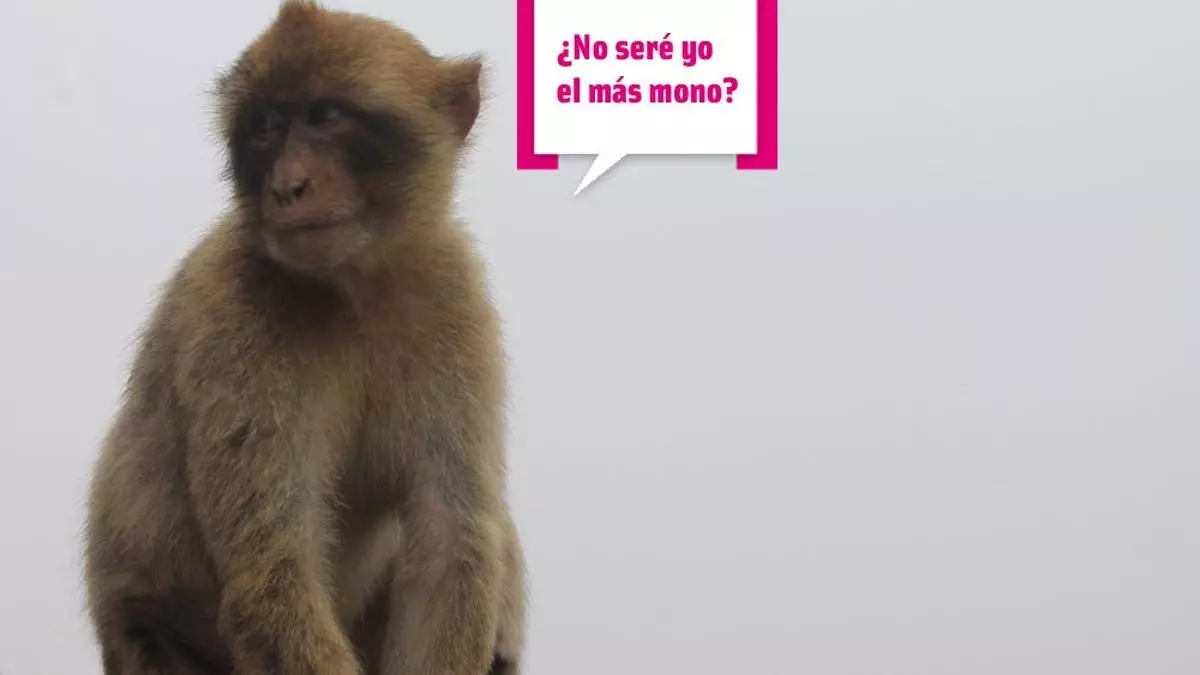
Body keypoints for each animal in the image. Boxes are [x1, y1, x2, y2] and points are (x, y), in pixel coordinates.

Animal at [81, 3, 526, 675]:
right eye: (265, 126)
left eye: (324, 116)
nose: (287, 186)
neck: (353, 289)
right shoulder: (233, 317)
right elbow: (273, 568)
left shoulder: (456, 301)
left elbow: (453, 545)